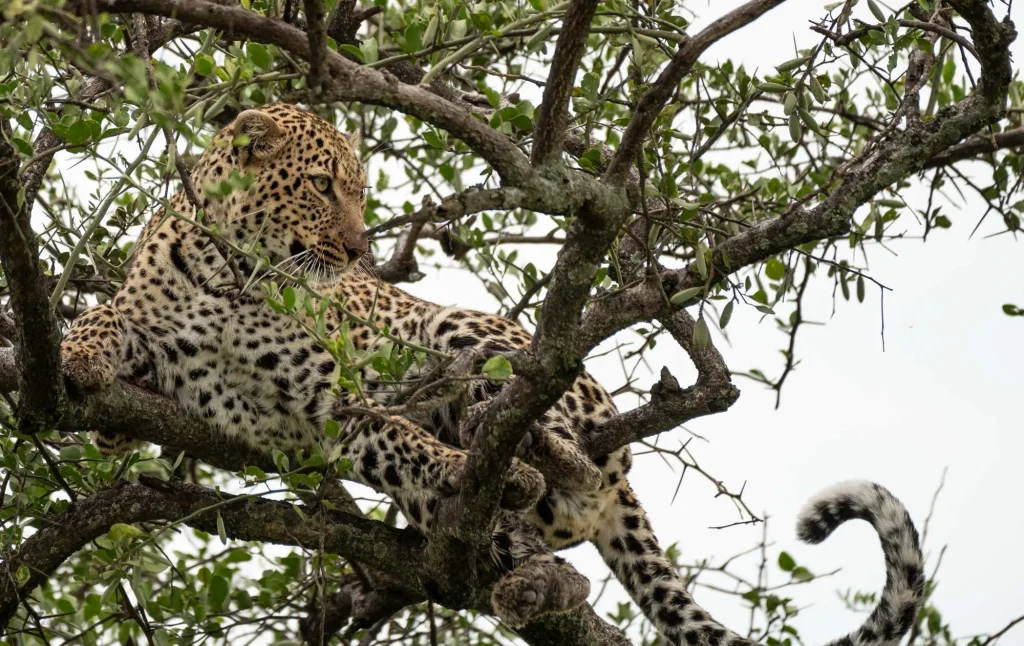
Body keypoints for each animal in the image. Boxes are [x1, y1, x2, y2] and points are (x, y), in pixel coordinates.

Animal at [60, 103, 926, 644]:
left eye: (359, 191)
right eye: (320, 185)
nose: (358, 253)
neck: (231, 272)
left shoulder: (330, 400)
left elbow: (400, 434)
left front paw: (465, 465)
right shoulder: (173, 338)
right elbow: (109, 321)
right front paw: (81, 362)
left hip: (472, 337)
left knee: (564, 463)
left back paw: (513, 466)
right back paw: (510, 550)